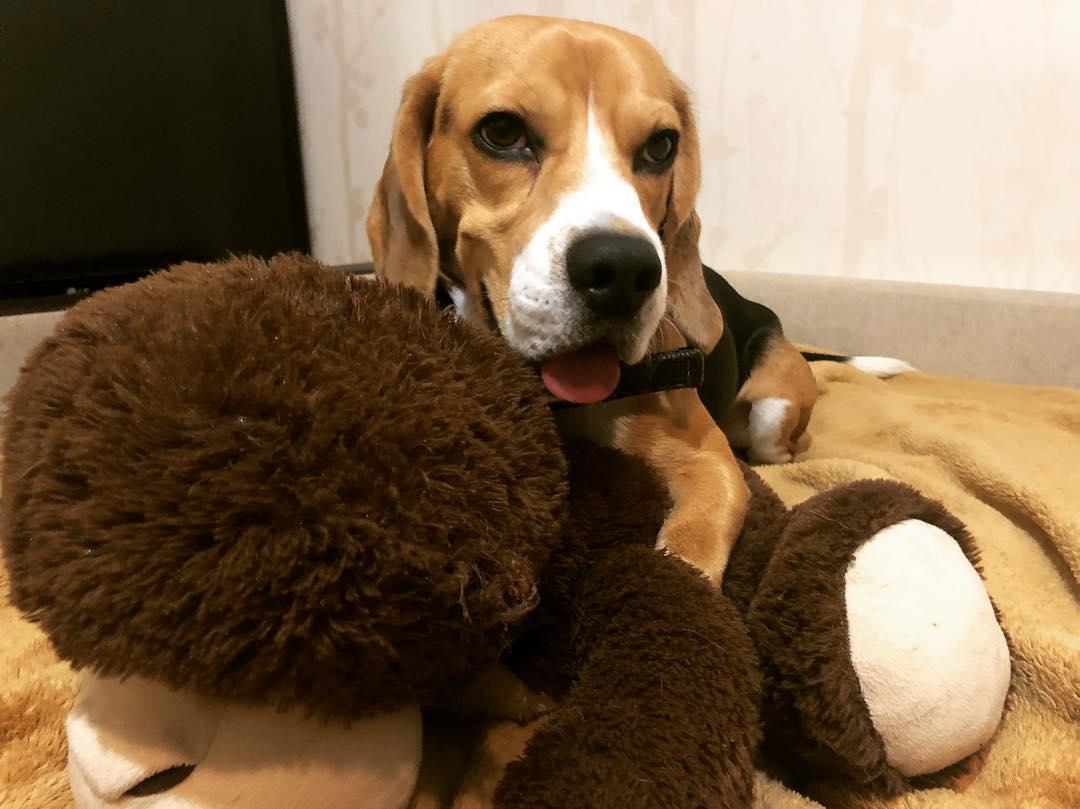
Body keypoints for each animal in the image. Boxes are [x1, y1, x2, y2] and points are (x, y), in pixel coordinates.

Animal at [367, 12, 812, 578]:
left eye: (661, 146)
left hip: (773, 413)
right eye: (502, 132)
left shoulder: (711, 462)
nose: (623, 271)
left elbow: (690, 547)